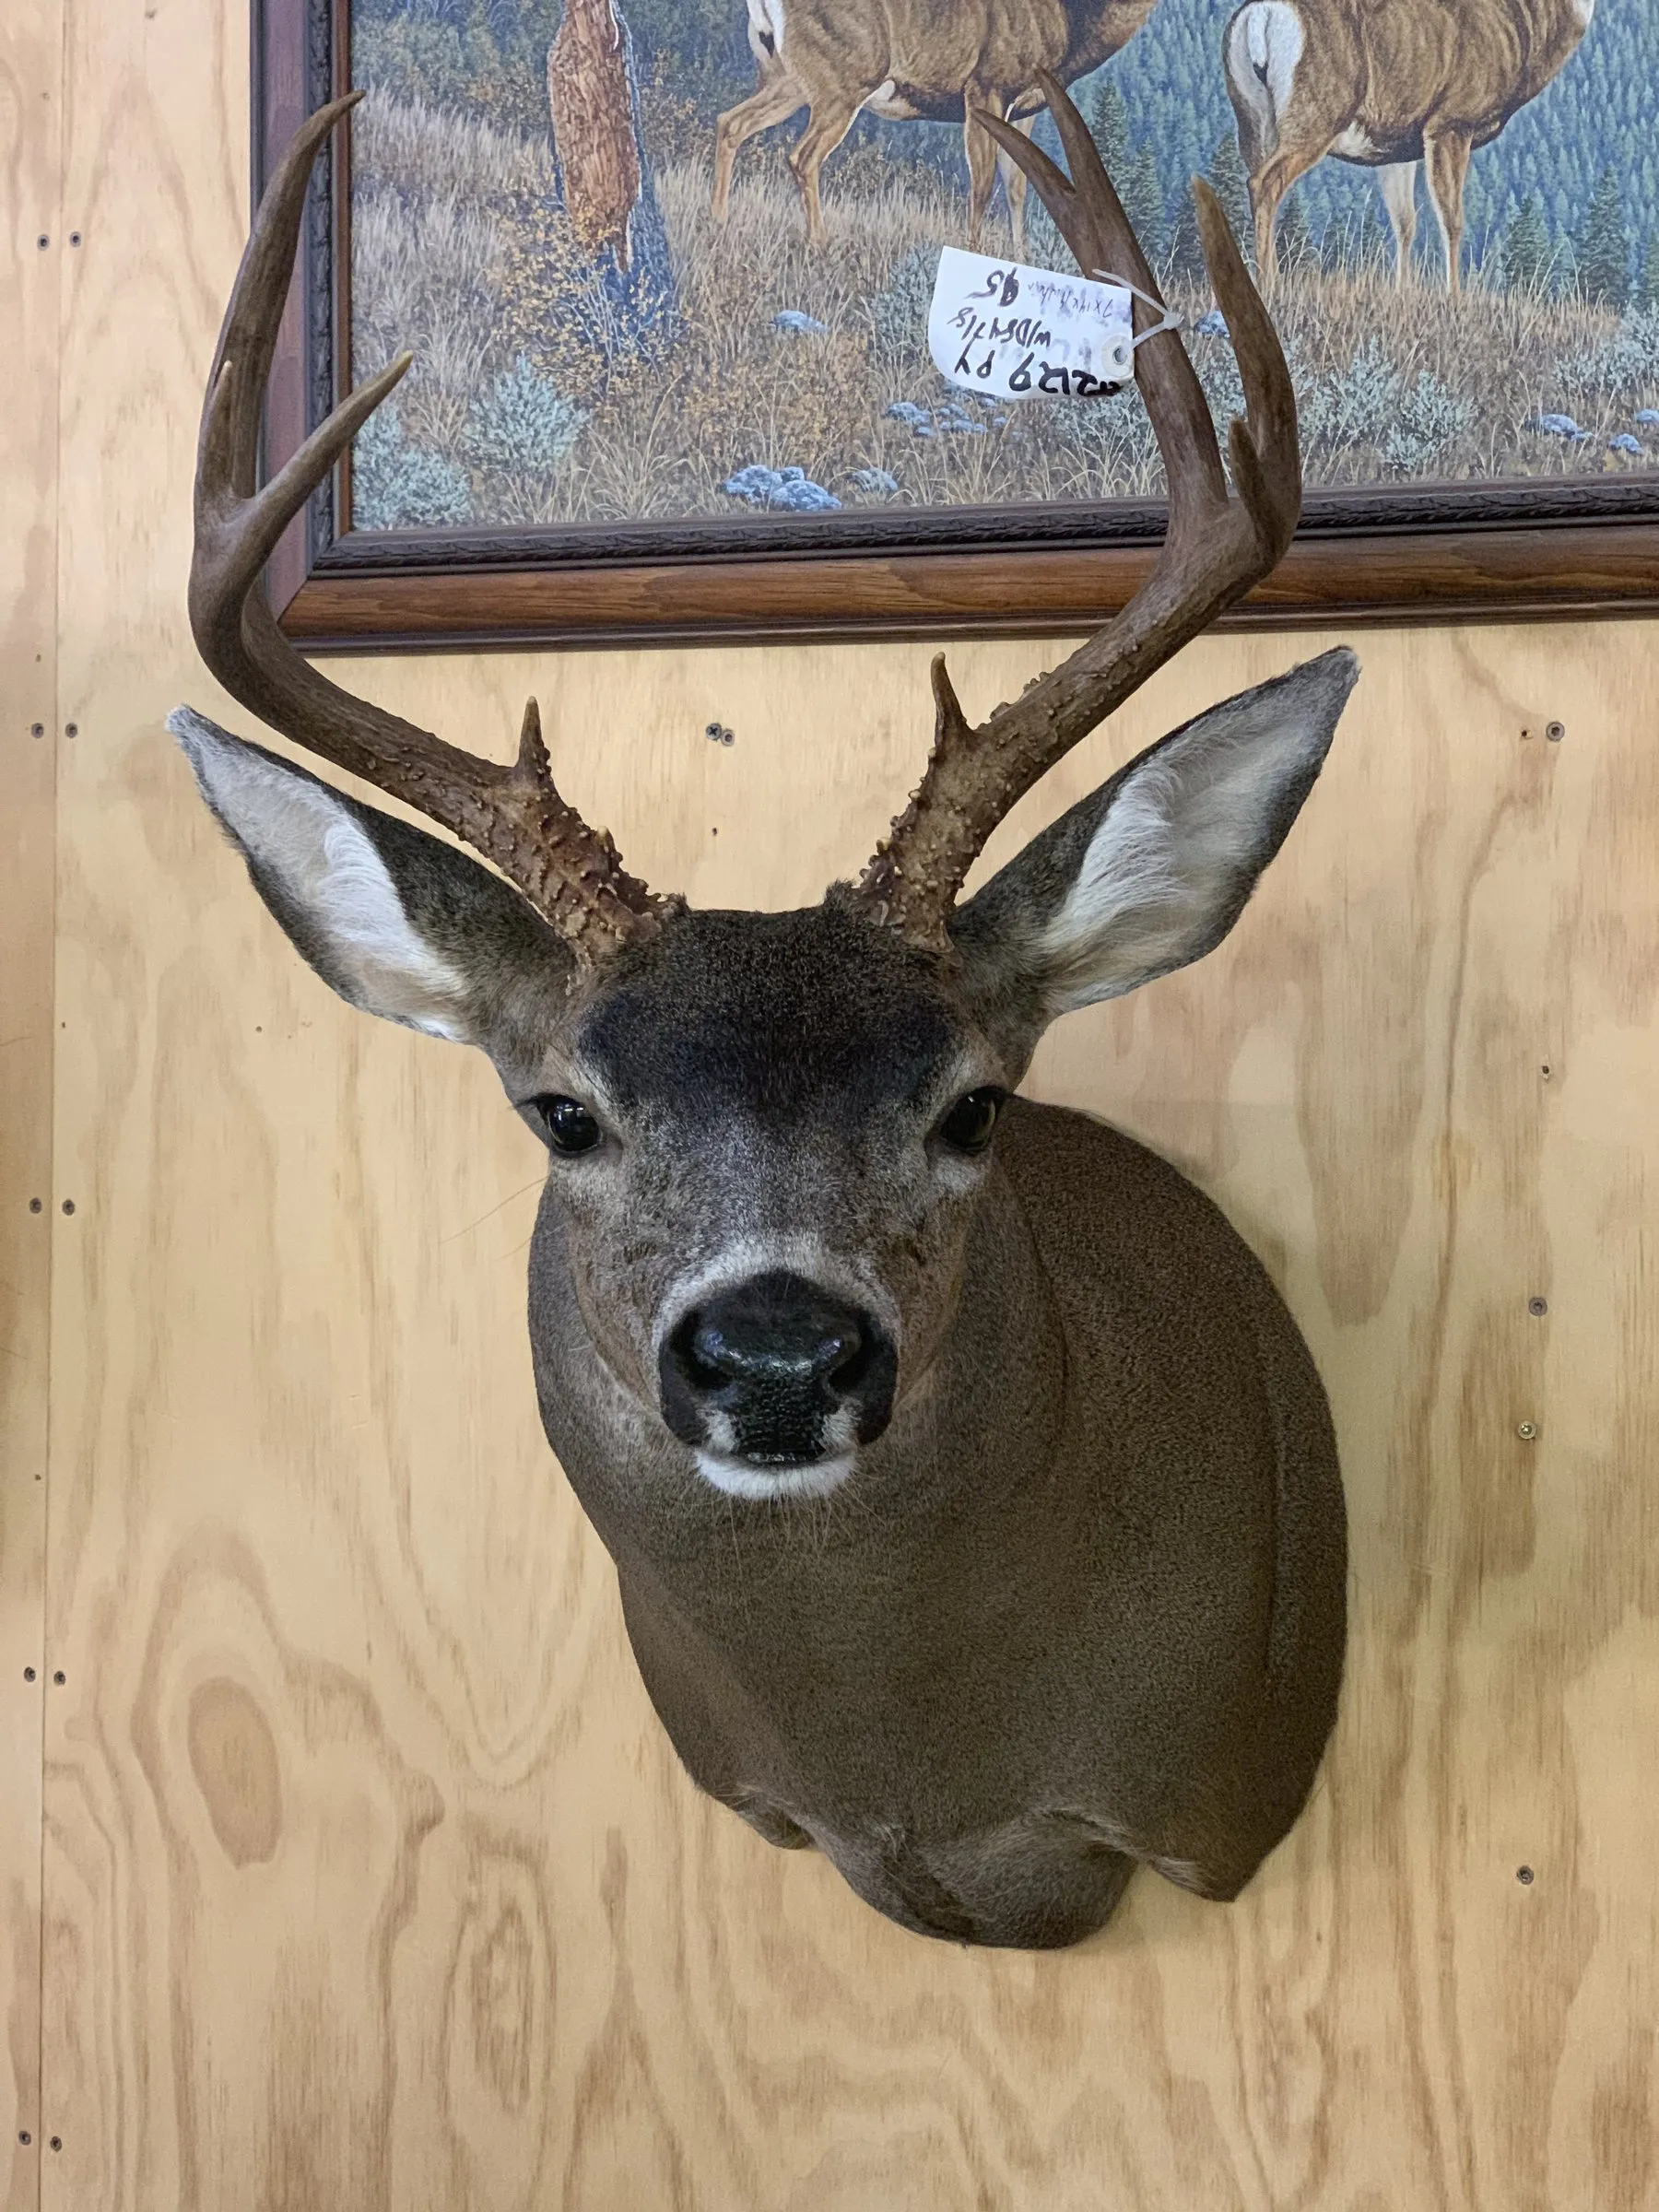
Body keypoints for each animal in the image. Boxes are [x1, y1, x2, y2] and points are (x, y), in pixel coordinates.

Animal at [710, 0, 1159, 249]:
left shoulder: (1027, 108)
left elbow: (1018, 188)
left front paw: (1023, 257)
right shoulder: (986, 86)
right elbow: (982, 184)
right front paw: (974, 252)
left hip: (787, 77)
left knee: (730, 122)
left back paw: (719, 220)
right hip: (844, 78)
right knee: (803, 156)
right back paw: (819, 243)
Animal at [1224, 0, 1593, 292]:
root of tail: (1260, 16)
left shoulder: (1396, 148)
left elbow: (1404, 223)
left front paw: (1403, 292)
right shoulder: (1451, 123)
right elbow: (1452, 219)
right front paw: (1454, 297)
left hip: (1252, 120)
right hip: (1317, 113)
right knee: (1265, 183)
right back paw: (1269, 285)